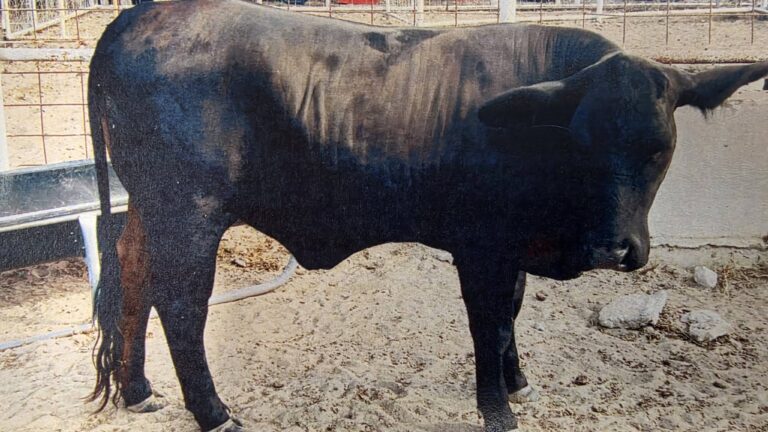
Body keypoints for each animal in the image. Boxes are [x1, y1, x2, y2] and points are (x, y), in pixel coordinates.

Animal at [86, 0, 768, 431]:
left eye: (660, 148)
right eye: (582, 142)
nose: (613, 249)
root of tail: (140, 14)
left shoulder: (511, 249)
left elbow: (510, 314)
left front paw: (517, 379)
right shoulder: (482, 245)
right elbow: (488, 322)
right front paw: (497, 409)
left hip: (150, 207)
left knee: (133, 278)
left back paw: (138, 391)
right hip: (188, 211)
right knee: (180, 304)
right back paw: (214, 414)